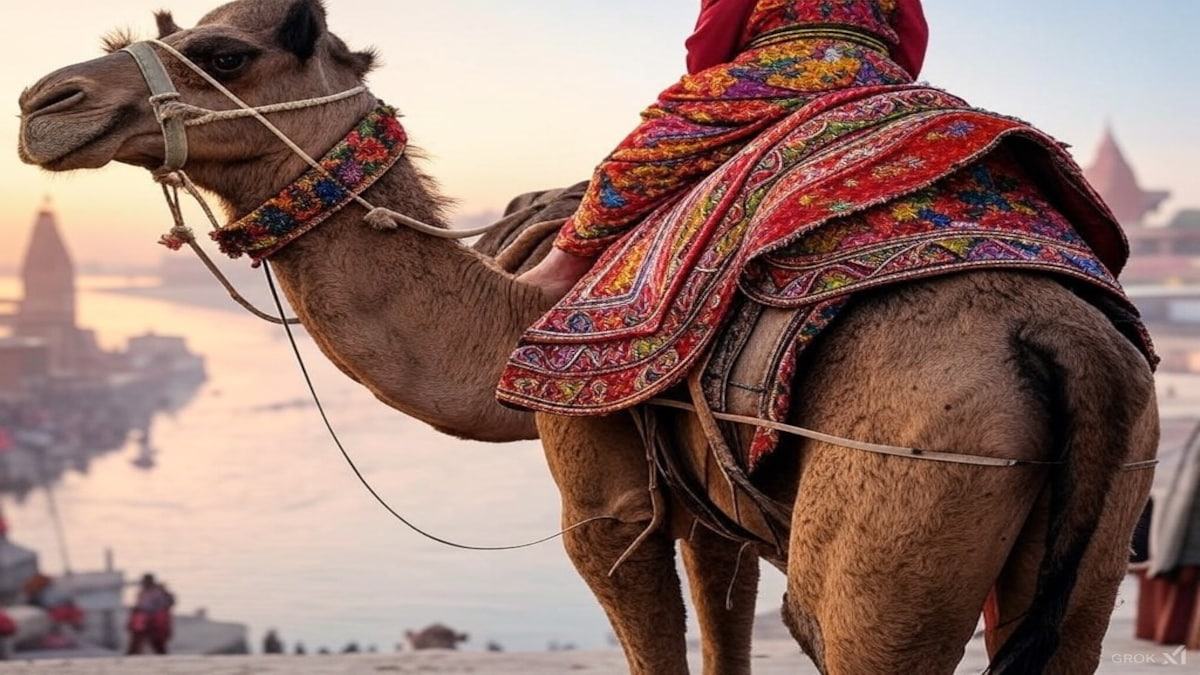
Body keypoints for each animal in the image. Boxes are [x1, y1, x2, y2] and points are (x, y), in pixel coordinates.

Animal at [16, 1, 1158, 673]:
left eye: (222, 51)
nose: (43, 100)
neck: (509, 317)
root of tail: (1066, 348)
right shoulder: (711, 514)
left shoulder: (605, 505)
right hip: (1097, 545)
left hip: (895, 540)